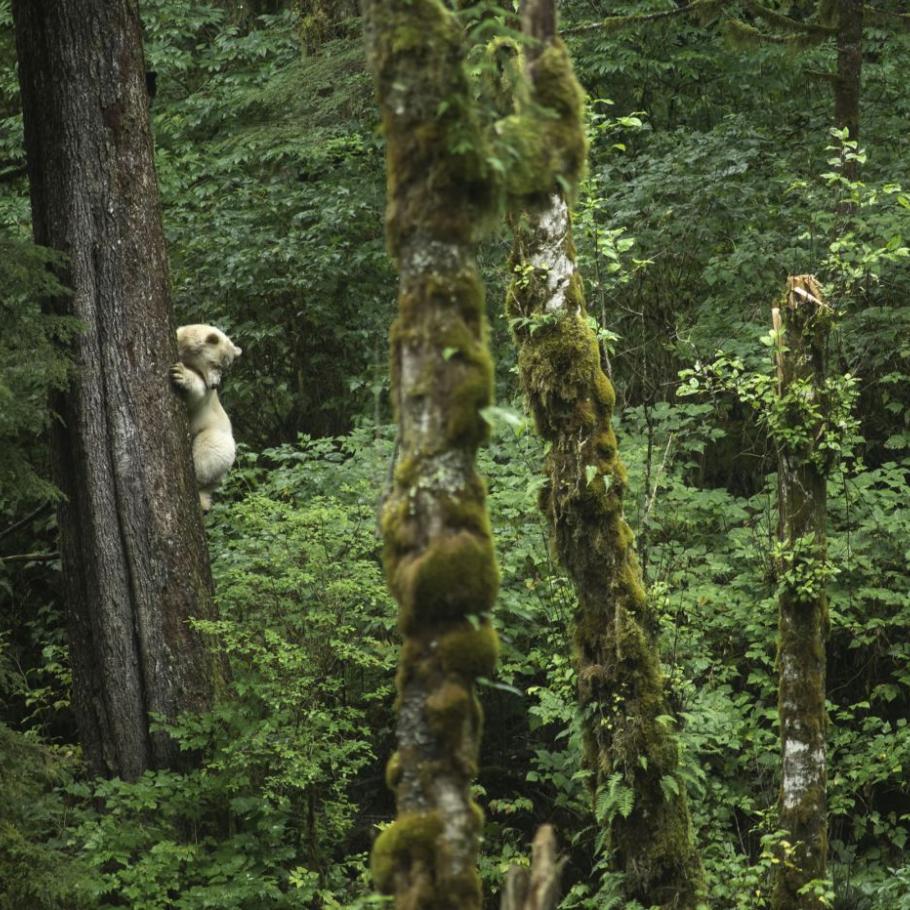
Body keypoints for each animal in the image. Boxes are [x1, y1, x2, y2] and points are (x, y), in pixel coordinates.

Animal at [171, 326, 242, 512]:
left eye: (225, 367)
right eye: (216, 364)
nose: (215, 385)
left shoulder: (205, 394)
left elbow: (197, 393)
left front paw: (180, 374)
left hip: (218, 440)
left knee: (207, 451)